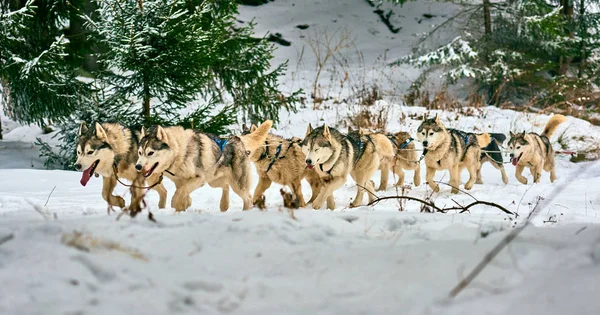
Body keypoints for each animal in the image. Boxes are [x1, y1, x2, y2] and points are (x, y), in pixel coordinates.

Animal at [135, 121, 272, 212]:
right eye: (140, 152)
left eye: (150, 153)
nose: (138, 166)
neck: (181, 152)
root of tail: (238, 139)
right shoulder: (180, 182)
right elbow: (182, 194)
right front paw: (182, 208)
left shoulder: (199, 179)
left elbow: (179, 194)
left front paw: (176, 204)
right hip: (213, 181)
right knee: (225, 186)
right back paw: (224, 205)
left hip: (237, 184)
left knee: (247, 198)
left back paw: (245, 212)